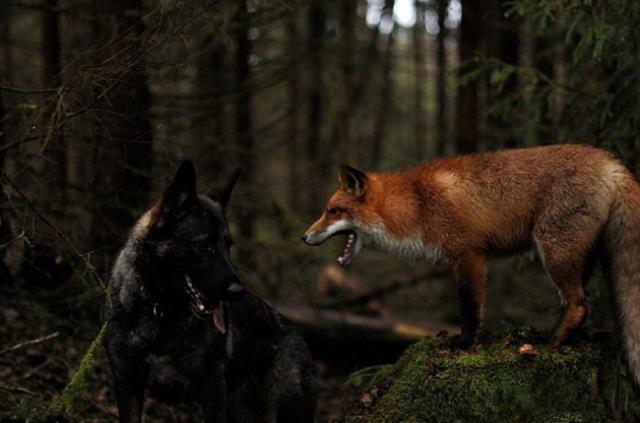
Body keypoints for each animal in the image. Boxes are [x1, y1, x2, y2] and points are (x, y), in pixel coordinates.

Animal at [103, 162, 320, 423]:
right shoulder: (127, 385)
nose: (238, 291)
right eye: (203, 245)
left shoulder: (212, 388)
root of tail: (294, 331)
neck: (159, 309)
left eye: (228, 246)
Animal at [302, 145, 640, 384]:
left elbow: (470, 307)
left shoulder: (468, 254)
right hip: (575, 256)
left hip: (555, 253)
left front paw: (464, 344)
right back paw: (560, 337)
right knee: (579, 302)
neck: (417, 205)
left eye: (333, 211)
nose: (304, 237)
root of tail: (613, 163)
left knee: (580, 303)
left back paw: (551, 342)